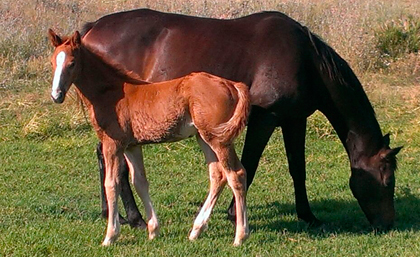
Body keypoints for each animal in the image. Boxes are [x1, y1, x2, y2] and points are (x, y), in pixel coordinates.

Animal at [82, 9, 400, 229]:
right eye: (387, 180)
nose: (387, 224)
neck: (307, 60)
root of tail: (92, 27)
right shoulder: (265, 118)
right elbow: (250, 163)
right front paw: (235, 214)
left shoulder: (294, 120)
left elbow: (298, 169)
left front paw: (308, 215)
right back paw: (135, 218)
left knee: (104, 156)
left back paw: (111, 213)